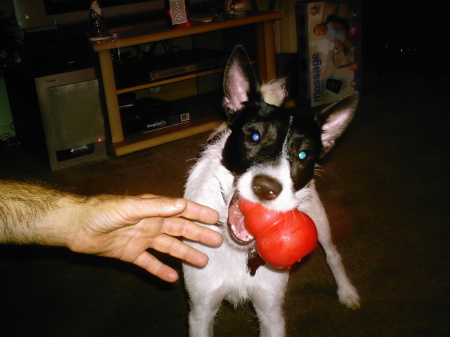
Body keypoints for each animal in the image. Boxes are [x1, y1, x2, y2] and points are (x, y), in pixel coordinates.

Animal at [181, 45, 360, 336]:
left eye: (303, 155)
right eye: (253, 136)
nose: (266, 188)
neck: (239, 251)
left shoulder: (271, 312)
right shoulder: (200, 312)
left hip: (319, 220)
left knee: (332, 253)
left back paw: (347, 291)